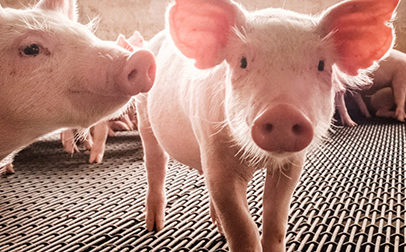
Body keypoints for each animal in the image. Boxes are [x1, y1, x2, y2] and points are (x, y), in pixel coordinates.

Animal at [138, 0, 398, 250]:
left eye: (322, 64)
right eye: (242, 61)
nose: (283, 112)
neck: (259, 159)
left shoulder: (292, 164)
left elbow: (275, 220)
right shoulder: (215, 154)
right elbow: (242, 228)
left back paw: (217, 228)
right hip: (144, 115)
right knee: (155, 163)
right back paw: (154, 226)